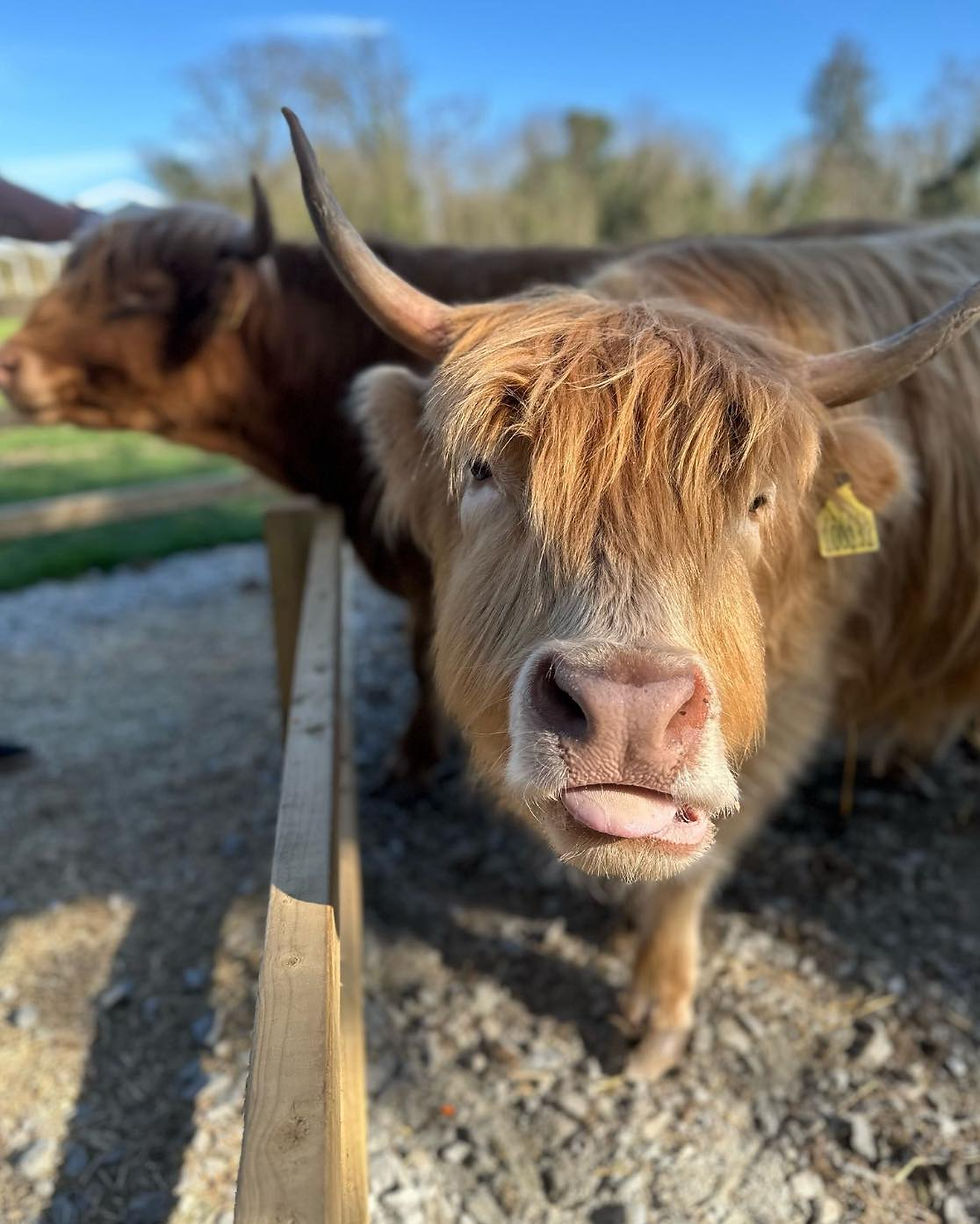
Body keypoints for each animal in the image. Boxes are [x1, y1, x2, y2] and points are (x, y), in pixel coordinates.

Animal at [285, 108, 980, 1077]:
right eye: (483, 470)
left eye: (759, 501)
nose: (627, 712)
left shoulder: (795, 697)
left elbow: (691, 867)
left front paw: (657, 1004)